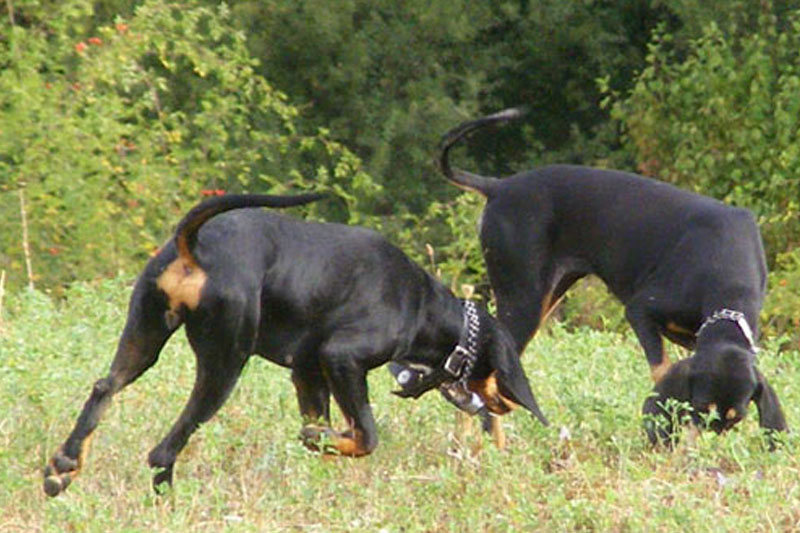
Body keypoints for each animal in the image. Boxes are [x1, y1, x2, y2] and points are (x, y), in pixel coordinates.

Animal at [42, 190, 544, 494]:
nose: (505, 406)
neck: (422, 305)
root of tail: (196, 246)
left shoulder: (308, 373)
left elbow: (327, 434)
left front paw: (320, 442)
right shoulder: (341, 359)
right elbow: (367, 436)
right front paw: (325, 438)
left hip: (144, 336)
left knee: (104, 389)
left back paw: (62, 467)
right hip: (224, 363)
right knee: (165, 448)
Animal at [438, 107, 788, 436]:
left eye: (735, 419)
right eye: (701, 406)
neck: (725, 265)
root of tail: (499, 186)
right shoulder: (640, 311)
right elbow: (662, 371)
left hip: (548, 293)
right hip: (523, 301)